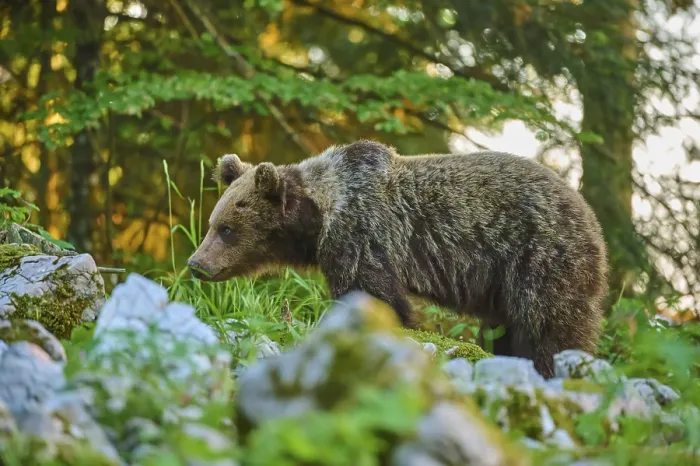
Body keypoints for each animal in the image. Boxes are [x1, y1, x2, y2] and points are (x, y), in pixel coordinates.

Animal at [187, 139, 609, 378]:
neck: (319, 214)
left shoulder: (360, 232)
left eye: (227, 229)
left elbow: (373, 294)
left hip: (539, 255)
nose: (196, 264)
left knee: (547, 325)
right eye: (211, 224)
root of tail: (591, 216)